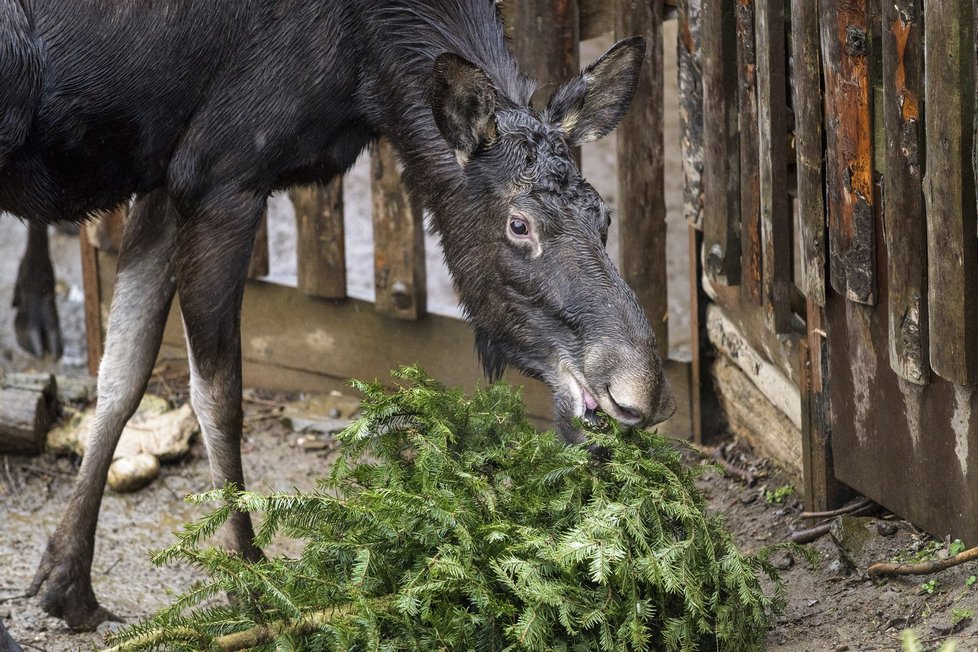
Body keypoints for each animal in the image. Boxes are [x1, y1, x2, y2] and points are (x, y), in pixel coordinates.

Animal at [1, 0, 672, 632]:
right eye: (519, 224)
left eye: (604, 215)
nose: (642, 388)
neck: (368, 72)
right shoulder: (222, 176)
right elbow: (218, 395)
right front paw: (250, 588)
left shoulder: (164, 176)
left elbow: (124, 368)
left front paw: (65, 580)